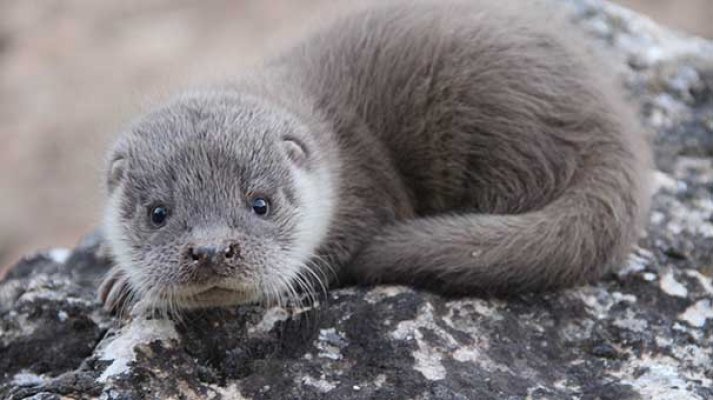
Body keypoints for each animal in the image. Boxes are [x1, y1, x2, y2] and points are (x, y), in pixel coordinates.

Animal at [97, 0, 648, 316]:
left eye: (260, 204)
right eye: (158, 213)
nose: (211, 250)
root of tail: (612, 123)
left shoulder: (367, 189)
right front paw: (121, 284)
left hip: (500, 121)